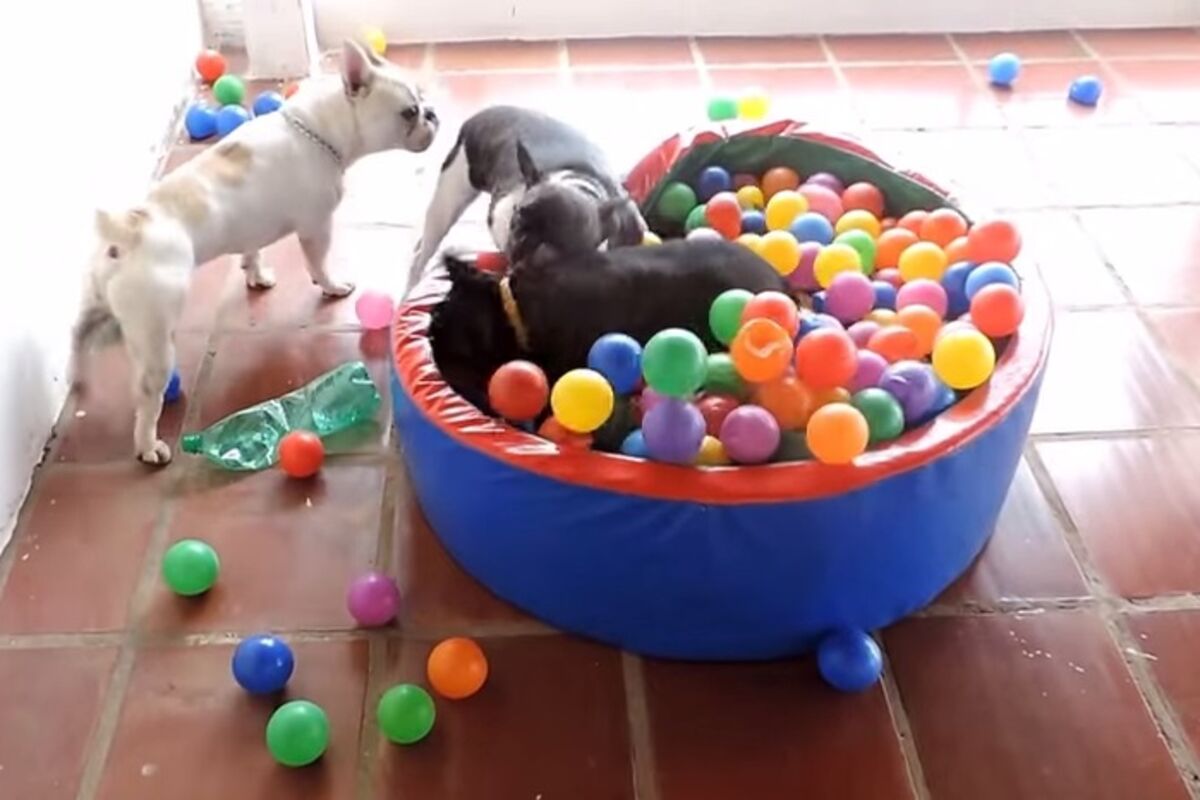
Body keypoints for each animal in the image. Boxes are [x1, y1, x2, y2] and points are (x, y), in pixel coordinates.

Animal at [70, 40, 438, 465]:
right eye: (409, 112)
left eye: (423, 102)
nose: (433, 114)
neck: (320, 127)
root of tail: (127, 229)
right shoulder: (316, 225)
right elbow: (319, 261)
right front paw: (332, 285)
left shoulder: (253, 226)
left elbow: (253, 251)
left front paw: (256, 275)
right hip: (154, 333)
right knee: (147, 395)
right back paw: (149, 445)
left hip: (97, 307)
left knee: (78, 337)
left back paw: (78, 380)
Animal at [407, 105, 646, 293]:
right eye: (517, 217)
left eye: (564, 244)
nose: (526, 245)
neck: (577, 182)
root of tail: (479, 117)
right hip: (450, 195)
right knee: (422, 254)